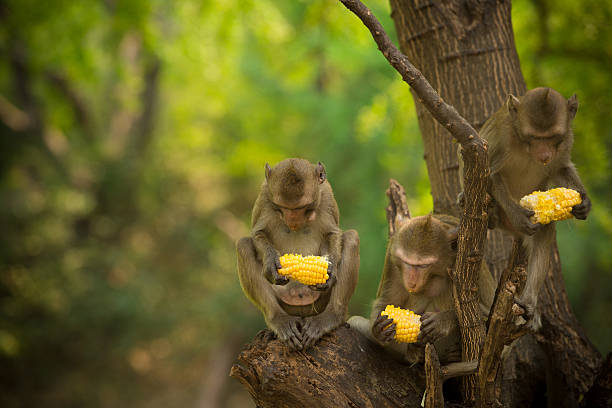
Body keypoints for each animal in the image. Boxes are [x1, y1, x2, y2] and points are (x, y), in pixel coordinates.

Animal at [234, 158, 358, 350]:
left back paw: (331, 317)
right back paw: (279, 319)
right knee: (243, 246)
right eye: (282, 207)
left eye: (303, 207)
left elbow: (332, 233)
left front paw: (329, 272)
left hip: (318, 303)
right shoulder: (264, 196)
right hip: (285, 303)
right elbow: (258, 233)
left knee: (351, 237)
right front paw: (271, 263)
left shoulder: (326, 195)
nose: (292, 221)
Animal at [346, 214, 494, 364]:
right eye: (406, 262)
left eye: (423, 265)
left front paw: (444, 320)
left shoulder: (468, 260)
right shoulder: (392, 261)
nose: (412, 282)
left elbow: (486, 314)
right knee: (354, 321)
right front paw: (379, 329)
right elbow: (386, 301)